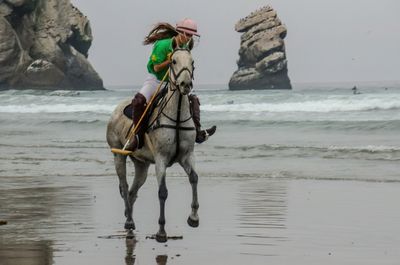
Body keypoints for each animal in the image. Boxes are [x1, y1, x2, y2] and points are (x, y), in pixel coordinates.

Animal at [107, 47, 199, 241]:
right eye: (173, 61)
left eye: (192, 62)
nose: (185, 84)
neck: (176, 115)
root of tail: (116, 109)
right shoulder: (161, 159)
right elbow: (162, 192)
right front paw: (161, 231)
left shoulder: (186, 155)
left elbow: (194, 178)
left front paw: (194, 218)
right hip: (118, 154)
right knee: (124, 186)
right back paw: (129, 221)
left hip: (141, 164)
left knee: (133, 191)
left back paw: (129, 223)